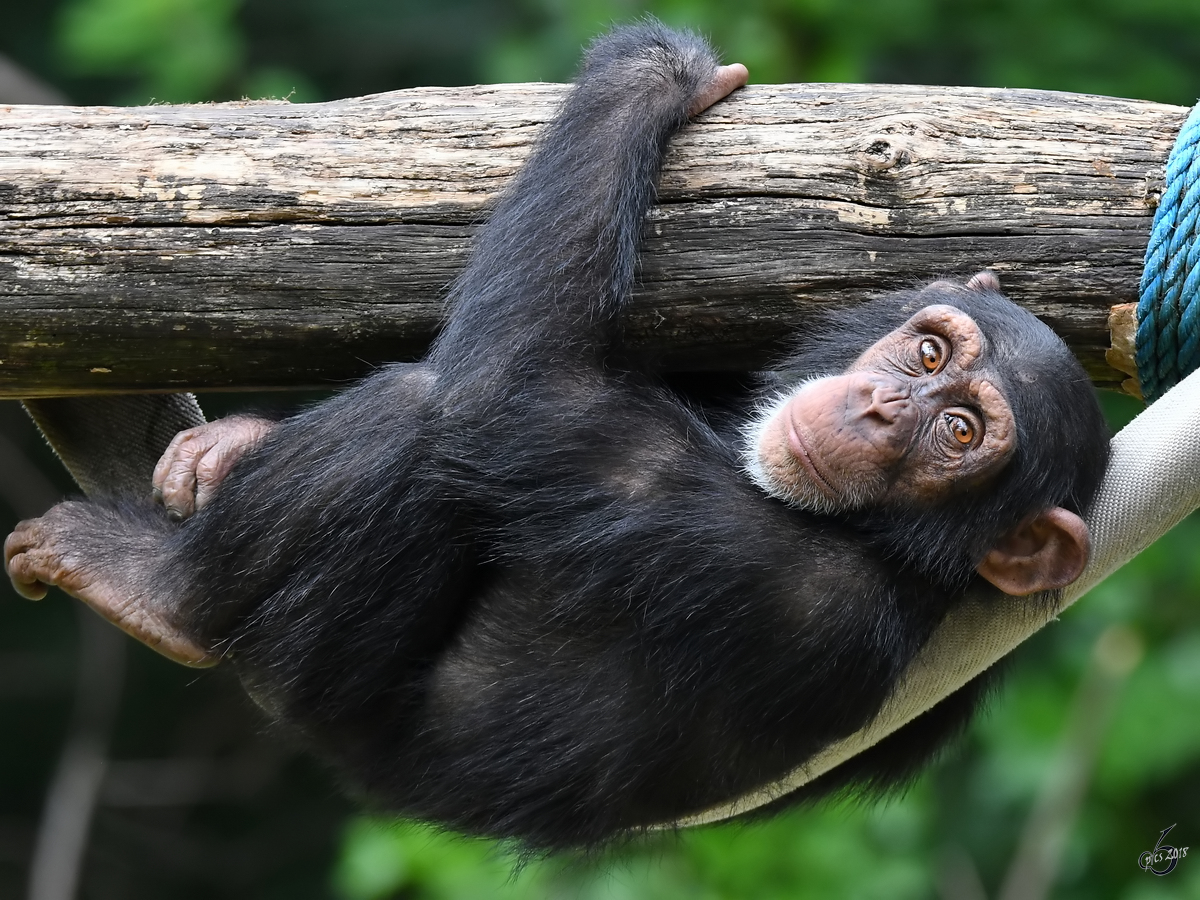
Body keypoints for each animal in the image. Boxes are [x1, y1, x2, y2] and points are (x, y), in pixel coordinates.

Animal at [4, 24, 1104, 849]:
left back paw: (157, 594)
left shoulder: (713, 534)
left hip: (317, 677)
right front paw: (225, 444)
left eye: (959, 430)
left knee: (420, 412)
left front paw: (656, 71)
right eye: (928, 353)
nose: (881, 409)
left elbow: (506, 384)